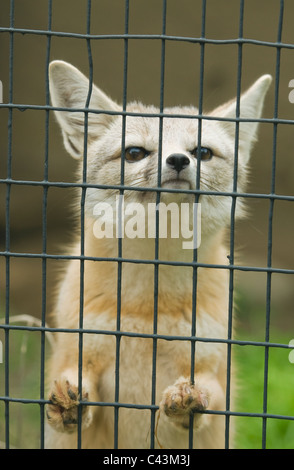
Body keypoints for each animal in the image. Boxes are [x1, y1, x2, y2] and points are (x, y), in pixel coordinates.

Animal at [44, 60, 272, 450]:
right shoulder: (78, 353)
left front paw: (189, 401)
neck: (146, 309)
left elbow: (203, 396)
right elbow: (74, 386)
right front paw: (67, 404)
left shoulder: (209, 368)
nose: (178, 160)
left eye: (202, 153)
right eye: (135, 152)